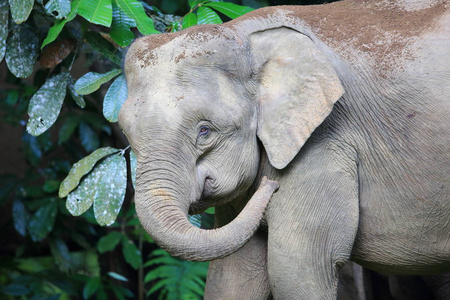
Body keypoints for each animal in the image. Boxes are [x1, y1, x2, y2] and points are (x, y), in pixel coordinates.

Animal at [117, 0, 450, 298]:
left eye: (205, 131)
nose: (270, 185)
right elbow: (233, 275)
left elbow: (300, 267)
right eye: (126, 133)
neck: (247, 36)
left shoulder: (326, 138)